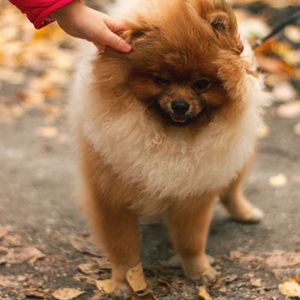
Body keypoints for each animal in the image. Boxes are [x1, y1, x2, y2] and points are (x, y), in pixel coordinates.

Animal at [70, 0, 268, 292]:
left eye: (202, 84)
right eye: (160, 79)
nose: (180, 105)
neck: (169, 136)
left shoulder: (194, 196)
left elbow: (191, 242)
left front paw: (199, 271)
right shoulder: (110, 194)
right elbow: (122, 246)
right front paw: (123, 280)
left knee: (233, 190)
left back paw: (246, 212)